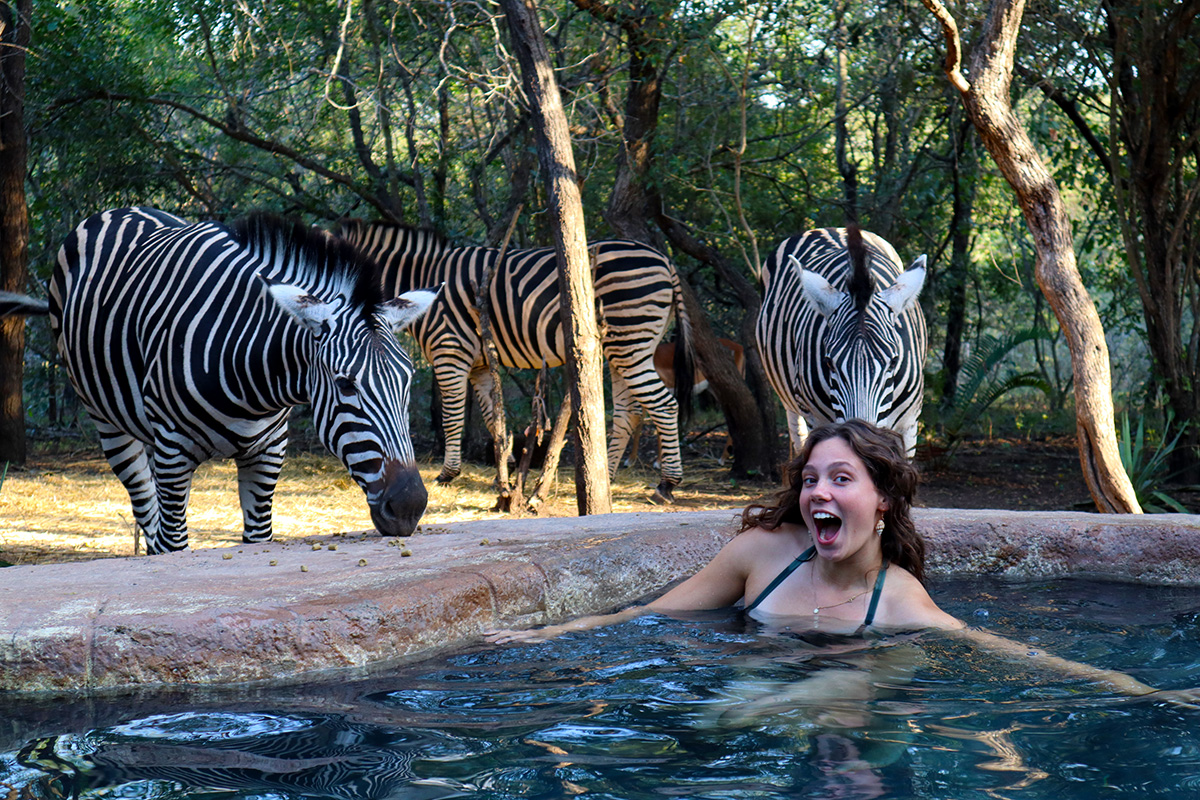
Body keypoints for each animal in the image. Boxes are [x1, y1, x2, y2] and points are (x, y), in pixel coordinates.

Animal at [37, 207, 436, 554]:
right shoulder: (173, 453)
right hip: (108, 421)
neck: (253, 385)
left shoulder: (268, 453)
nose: (410, 507)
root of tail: (119, 211)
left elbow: (258, 537)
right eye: (345, 384)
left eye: (406, 381)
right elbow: (174, 544)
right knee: (149, 517)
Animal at [336, 220, 694, 501]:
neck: (419, 280)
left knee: (665, 405)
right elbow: (494, 419)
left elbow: (452, 417)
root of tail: (665, 260)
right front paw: (503, 473)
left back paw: (666, 484)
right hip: (622, 346)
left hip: (630, 338)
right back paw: (605, 479)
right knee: (627, 413)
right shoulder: (480, 363)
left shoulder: (449, 350)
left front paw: (448, 474)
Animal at [756, 226, 927, 458]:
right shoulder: (817, 419)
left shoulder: (909, 426)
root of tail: (826, 229)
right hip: (791, 404)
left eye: (893, 362)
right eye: (828, 362)